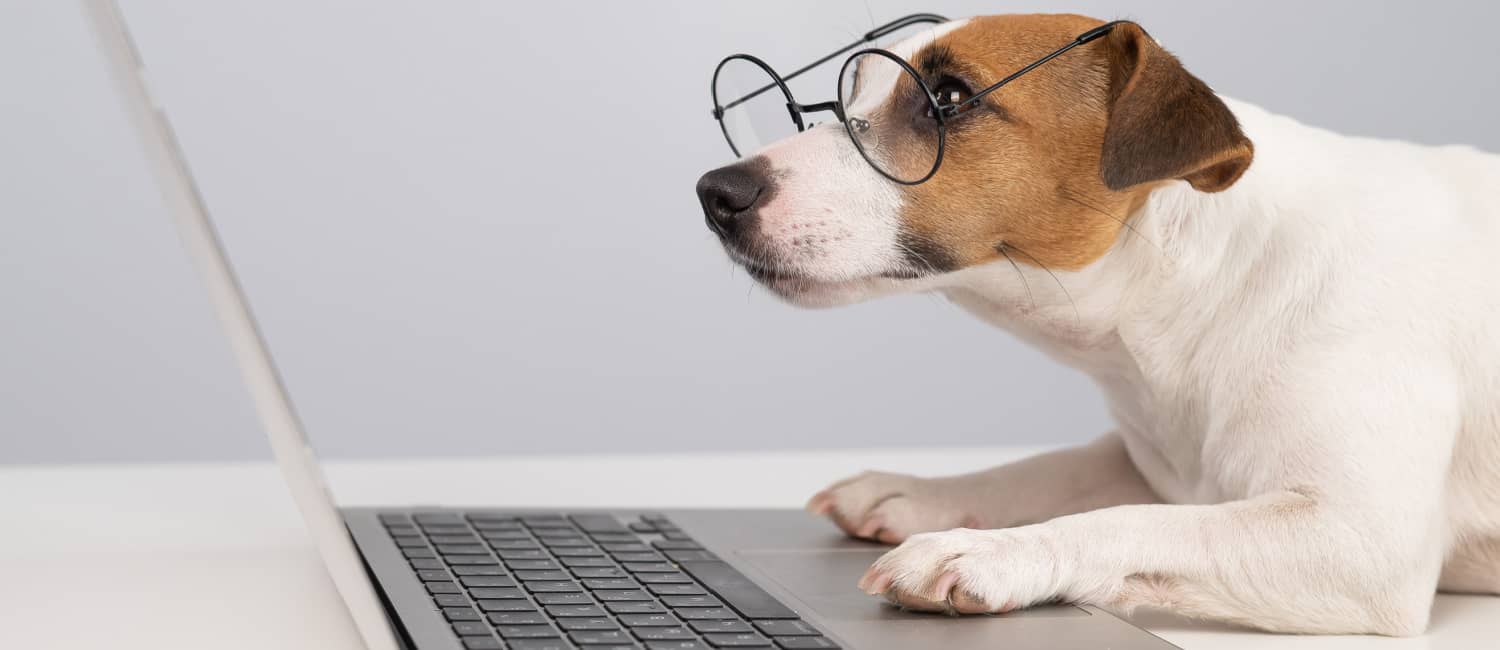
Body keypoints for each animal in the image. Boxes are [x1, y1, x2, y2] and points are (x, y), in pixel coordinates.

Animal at [693, 13, 1500, 633]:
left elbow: (1136, 520)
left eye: (948, 97)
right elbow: (1058, 467)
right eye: (848, 93)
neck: (1213, 276)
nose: (716, 191)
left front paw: (991, 553)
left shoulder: (1361, 542)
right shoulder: (1149, 452)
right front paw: (916, 491)